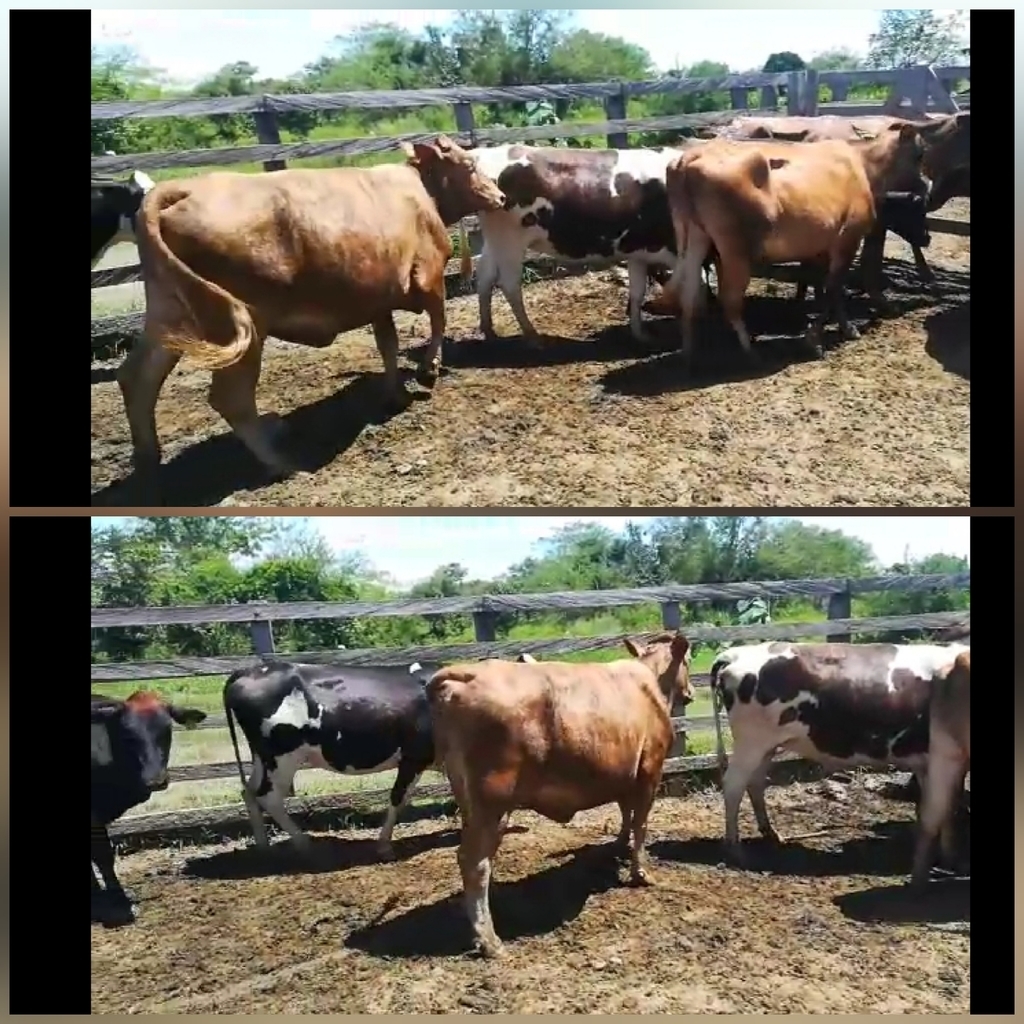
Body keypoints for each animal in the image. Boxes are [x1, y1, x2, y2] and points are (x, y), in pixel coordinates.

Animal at [118, 135, 505, 495]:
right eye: (469, 164)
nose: (501, 197)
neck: (420, 191)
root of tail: (181, 188)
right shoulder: (429, 277)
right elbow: (438, 320)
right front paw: (429, 370)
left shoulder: (378, 299)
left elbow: (388, 346)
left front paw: (394, 392)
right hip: (244, 328)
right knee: (231, 398)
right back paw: (282, 464)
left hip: (172, 316)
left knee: (138, 379)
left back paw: (148, 464)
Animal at [223, 659, 446, 861]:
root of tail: (250, 670)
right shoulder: (413, 757)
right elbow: (398, 798)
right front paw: (384, 846)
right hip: (282, 757)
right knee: (268, 797)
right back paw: (304, 844)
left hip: (262, 757)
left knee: (249, 791)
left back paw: (264, 847)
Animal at [424, 632, 694, 958]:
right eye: (689, 660)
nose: (691, 692)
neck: (651, 683)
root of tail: (464, 674)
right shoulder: (650, 768)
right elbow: (641, 823)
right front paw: (640, 873)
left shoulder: (625, 773)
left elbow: (625, 812)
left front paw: (619, 844)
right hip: (492, 804)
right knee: (474, 863)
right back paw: (490, 941)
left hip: (468, 800)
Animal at [456, 142, 713, 347]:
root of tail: (483, 152)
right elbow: (693, 287)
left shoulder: (638, 253)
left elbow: (638, 292)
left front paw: (641, 335)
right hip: (510, 240)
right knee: (508, 284)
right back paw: (533, 337)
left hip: (495, 241)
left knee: (485, 277)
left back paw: (489, 331)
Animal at [665, 123, 931, 364]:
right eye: (919, 154)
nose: (927, 184)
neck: (864, 165)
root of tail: (690, 156)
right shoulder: (848, 238)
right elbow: (833, 288)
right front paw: (815, 339)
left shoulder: (820, 245)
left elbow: (821, 285)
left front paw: (844, 327)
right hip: (735, 250)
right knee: (729, 300)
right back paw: (751, 352)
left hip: (694, 237)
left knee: (689, 294)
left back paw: (689, 353)